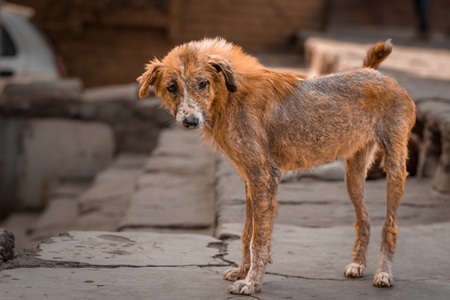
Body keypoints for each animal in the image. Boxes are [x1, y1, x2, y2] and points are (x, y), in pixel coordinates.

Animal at [137, 37, 414, 296]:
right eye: (172, 87)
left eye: (203, 83)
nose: (191, 121)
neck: (229, 97)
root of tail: (374, 73)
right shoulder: (250, 179)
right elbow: (247, 233)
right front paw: (243, 272)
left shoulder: (263, 175)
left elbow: (258, 239)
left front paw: (251, 283)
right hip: (354, 175)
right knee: (363, 221)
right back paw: (357, 264)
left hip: (395, 169)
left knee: (390, 225)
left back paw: (383, 273)